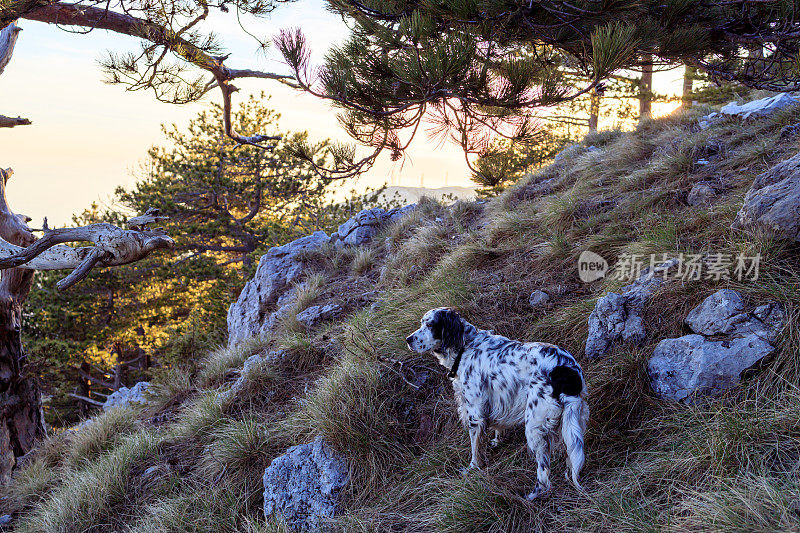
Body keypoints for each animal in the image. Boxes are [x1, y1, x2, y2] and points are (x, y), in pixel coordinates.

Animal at [406, 308, 588, 498]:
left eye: (430, 325)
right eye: (421, 323)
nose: (408, 339)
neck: (465, 347)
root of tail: (568, 371)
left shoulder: (475, 413)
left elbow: (475, 447)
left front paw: (472, 468)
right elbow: (497, 427)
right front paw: (496, 441)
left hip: (535, 426)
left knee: (543, 471)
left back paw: (532, 495)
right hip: (574, 419)